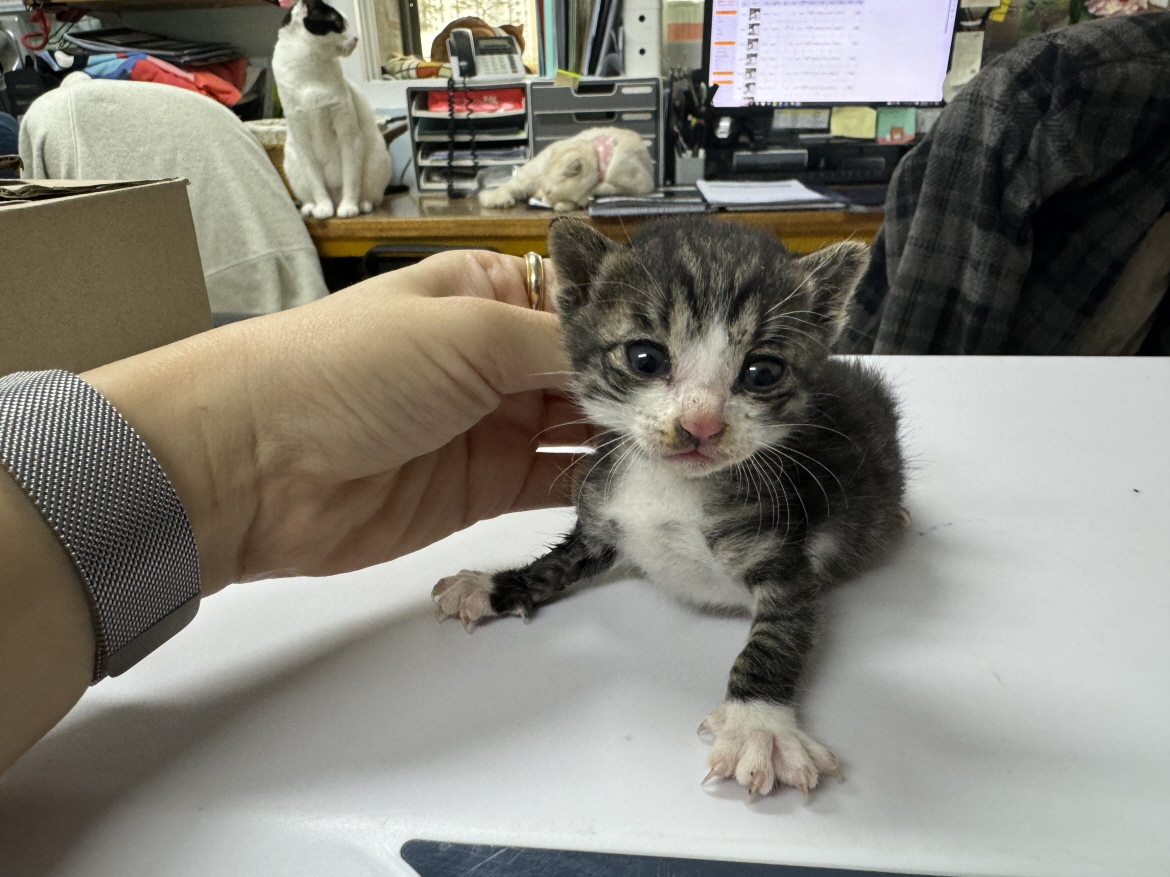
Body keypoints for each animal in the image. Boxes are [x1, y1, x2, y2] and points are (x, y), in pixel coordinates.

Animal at [271, 0, 390, 218]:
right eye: (338, 23)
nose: (356, 38)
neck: (310, 72)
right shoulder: (302, 140)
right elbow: (316, 184)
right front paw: (322, 208)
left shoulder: (348, 135)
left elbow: (351, 179)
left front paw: (349, 207)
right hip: (292, 163)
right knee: (310, 194)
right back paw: (311, 207)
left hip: (376, 160)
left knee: (372, 196)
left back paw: (361, 205)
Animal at [435, 216, 907, 799]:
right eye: (645, 358)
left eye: (763, 371)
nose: (700, 424)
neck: (670, 487)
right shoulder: (603, 509)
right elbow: (558, 562)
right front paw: (495, 585)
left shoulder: (784, 553)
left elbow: (780, 633)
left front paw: (760, 727)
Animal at [477, 126, 659, 212]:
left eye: (549, 191)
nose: (541, 196)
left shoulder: (639, 185)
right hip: (530, 175)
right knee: (510, 187)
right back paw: (498, 200)